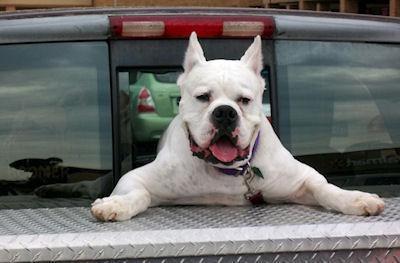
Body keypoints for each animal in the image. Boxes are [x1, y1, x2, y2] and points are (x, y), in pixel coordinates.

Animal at [90, 33, 384, 223]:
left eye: (245, 100)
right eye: (203, 97)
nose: (225, 113)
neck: (228, 172)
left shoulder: (302, 180)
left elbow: (326, 188)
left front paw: (356, 199)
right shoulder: (135, 179)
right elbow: (138, 194)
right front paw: (115, 205)